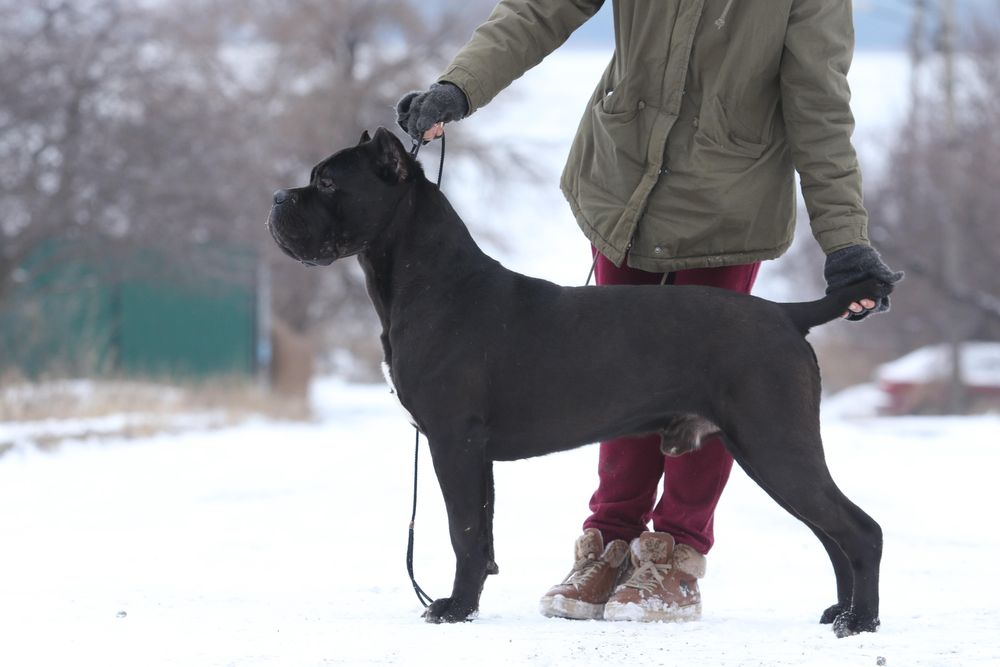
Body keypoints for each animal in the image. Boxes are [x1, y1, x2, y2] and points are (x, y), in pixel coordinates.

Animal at [266, 126, 884, 636]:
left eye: (326, 181)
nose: (276, 198)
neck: (430, 282)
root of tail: (787, 315)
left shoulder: (452, 441)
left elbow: (462, 532)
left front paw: (453, 609)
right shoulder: (475, 454)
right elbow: (482, 534)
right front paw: (469, 603)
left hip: (775, 445)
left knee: (860, 530)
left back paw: (862, 622)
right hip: (772, 451)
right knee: (833, 535)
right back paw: (841, 610)